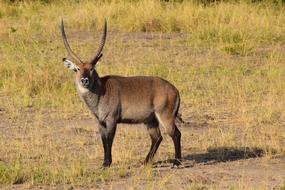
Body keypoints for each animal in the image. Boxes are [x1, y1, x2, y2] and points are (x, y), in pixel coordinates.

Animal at [60, 18, 182, 167]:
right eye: (78, 69)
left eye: (91, 68)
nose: (84, 80)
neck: (101, 90)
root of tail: (175, 89)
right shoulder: (100, 122)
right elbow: (103, 141)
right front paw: (104, 163)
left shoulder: (112, 120)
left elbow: (109, 140)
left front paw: (107, 163)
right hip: (151, 120)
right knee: (157, 137)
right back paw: (145, 161)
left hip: (165, 116)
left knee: (175, 134)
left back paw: (176, 162)